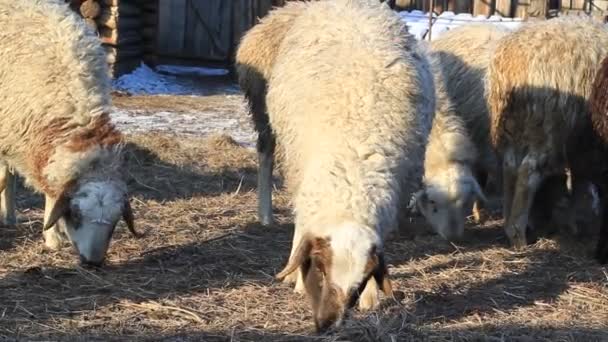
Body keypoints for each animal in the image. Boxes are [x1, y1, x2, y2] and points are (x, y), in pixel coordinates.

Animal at [486, 16, 608, 248]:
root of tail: (512, 62)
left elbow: (580, 180)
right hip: (548, 127)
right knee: (528, 172)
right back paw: (518, 235)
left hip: (516, 126)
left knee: (510, 166)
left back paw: (510, 224)